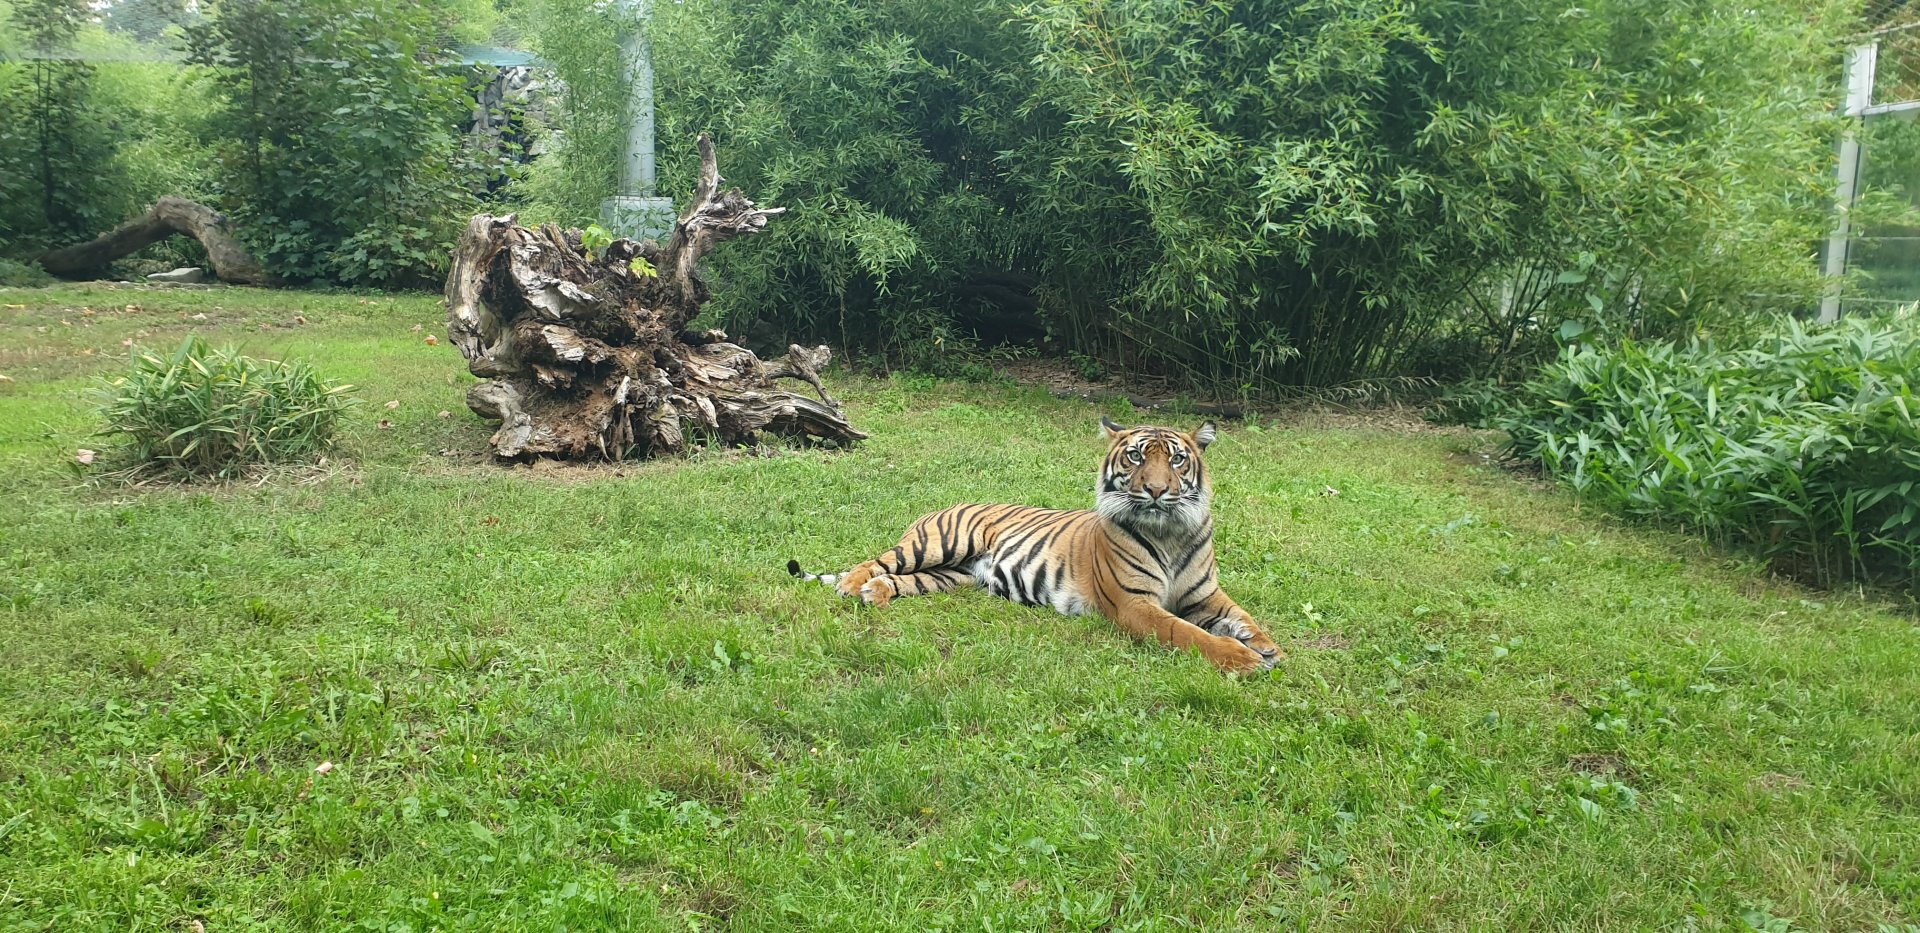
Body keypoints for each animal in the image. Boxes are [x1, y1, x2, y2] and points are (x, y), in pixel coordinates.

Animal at [786, 417, 1284, 674]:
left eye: (1177, 459)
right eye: (1136, 456)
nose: (1158, 490)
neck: (1171, 532)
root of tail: (943, 505)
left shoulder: (1206, 595)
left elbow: (1243, 617)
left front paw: (1268, 647)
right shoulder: (1134, 604)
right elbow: (1188, 633)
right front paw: (1242, 658)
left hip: (950, 576)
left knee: (899, 579)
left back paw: (876, 593)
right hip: (939, 544)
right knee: (876, 559)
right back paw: (852, 585)